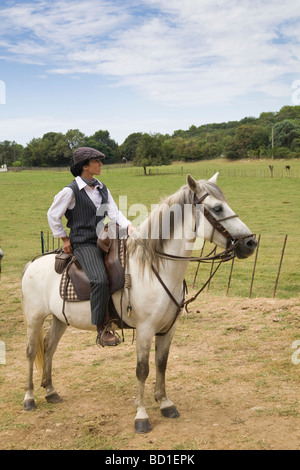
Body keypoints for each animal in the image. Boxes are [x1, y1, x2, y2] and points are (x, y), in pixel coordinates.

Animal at [21, 175, 255, 434]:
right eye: (217, 208)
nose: (250, 242)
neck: (155, 268)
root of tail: (33, 263)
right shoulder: (145, 330)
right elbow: (142, 370)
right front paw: (141, 415)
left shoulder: (168, 329)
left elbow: (162, 364)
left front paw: (164, 402)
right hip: (34, 318)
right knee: (31, 352)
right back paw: (29, 398)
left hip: (60, 319)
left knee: (49, 347)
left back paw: (51, 391)